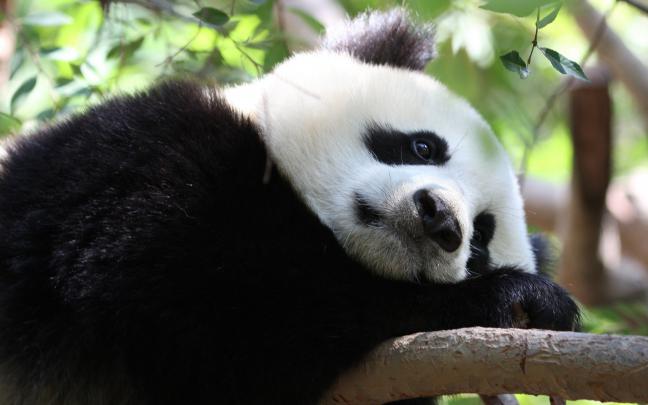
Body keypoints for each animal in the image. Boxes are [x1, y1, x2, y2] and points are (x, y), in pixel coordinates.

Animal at [0, 8, 578, 405]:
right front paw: (515, 298)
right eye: (422, 147)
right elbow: (196, 293)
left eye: (479, 240)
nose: (439, 217)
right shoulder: (136, 159)